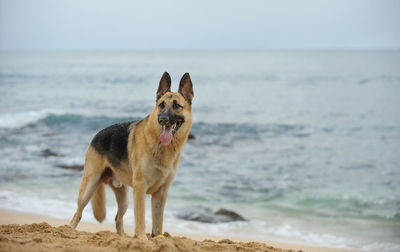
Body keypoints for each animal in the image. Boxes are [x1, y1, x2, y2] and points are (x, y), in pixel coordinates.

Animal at [69, 72, 195, 239]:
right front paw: (142, 238)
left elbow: (157, 224)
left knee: (117, 218)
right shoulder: (140, 188)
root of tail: (96, 135)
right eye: (161, 105)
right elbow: (140, 218)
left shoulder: (161, 194)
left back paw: (122, 237)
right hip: (89, 188)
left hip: (124, 200)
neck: (161, 147)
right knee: (77, 213)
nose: (163, 119)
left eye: (176, 105)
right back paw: (69, 230)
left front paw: (157, 239)